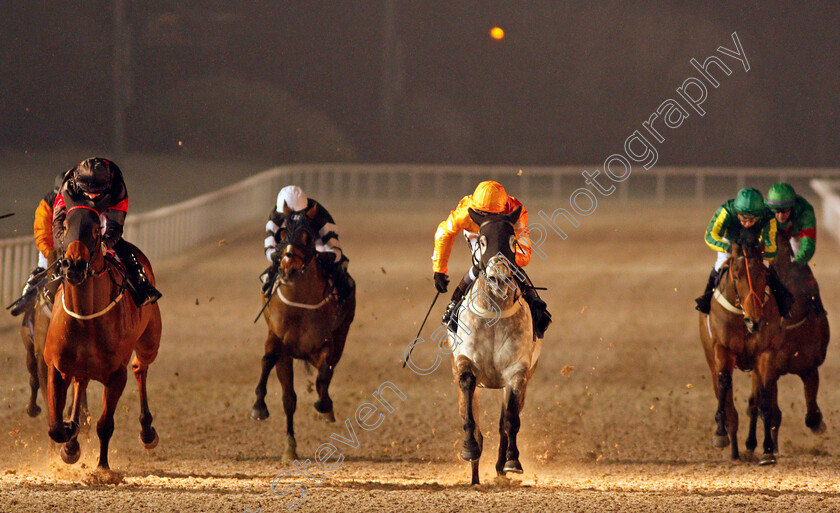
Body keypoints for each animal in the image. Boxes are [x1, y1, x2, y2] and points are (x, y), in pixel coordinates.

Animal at [44, 205, 162, 480]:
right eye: (65, 225)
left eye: (97, 229)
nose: (74, 265)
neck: (86, 317)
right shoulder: (56, 365)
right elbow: (55, 427)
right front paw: (70, 435)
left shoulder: (116, 375)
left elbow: (105, 424)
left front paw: (103, 467)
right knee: (81, 382)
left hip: (150, 341)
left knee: (140, 368)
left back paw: (147, 432)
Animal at [249, 201, 354, 460]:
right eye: (282, 235)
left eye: (308, 237)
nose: (288, 267)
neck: (300, 305)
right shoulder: (280, 345)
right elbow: (285, 392)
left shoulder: (327, 343)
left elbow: (324, 375)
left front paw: (324, 407)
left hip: (341, 335)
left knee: (327, 373)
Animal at [446, 205, 540, 484]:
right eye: (483, 241)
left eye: (512, 240)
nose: (499, 278)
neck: (494, 318)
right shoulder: (464, 361)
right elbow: (470, 413)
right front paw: (470, 449)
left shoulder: (517, 372)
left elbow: (510, 421)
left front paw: (511, 462)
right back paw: (475, 474)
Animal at [700, 232, 784, 464]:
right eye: (736, 276)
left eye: (763, 275)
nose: (754, 321)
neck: (742, 318)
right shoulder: (722, 349)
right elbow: (724, 386)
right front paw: (720, 434)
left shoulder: (765, 353)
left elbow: (764, 397)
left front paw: (767, 451)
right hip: (711, 359)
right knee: (724, 392)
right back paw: (734, 449)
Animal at [748, 230, 832, 446]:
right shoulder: (772, 371)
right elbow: (772, 413)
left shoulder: (810, 368)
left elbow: (811, 415)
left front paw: (819, 423)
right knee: (754, 404)